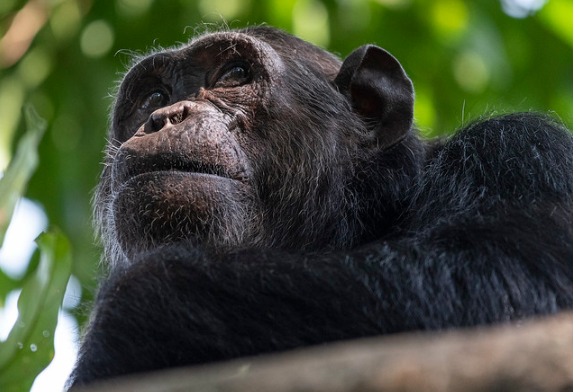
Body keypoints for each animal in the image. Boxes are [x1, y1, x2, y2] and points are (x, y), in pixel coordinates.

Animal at [69, 26, 572, 388]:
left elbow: (512, 271)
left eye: (233, 74)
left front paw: (131, 315)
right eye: (154, 97)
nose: (163, 117)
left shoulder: (521, 153)